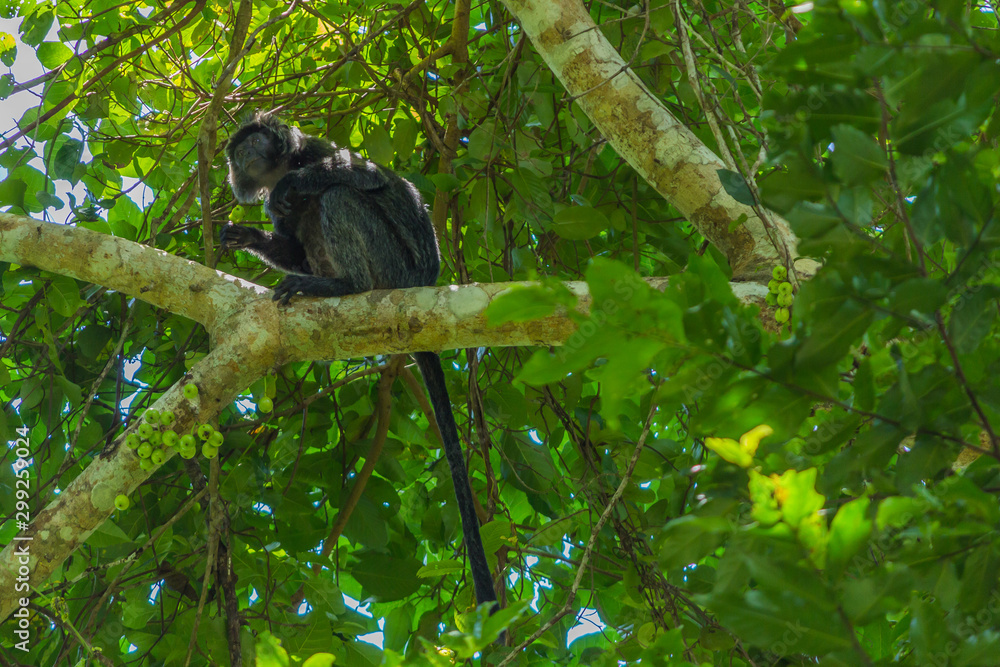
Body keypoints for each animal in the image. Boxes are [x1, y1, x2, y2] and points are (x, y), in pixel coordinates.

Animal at [221, 112, 499, 611]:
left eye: (254, 141)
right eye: (238, 153)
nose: (245, 156)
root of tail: (420, 283)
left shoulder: (314, 151)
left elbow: (368, 179)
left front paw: (290, 184)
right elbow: (291, 245)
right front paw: (248, 234)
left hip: (394, 268)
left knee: (339, 195)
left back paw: (345, 284)